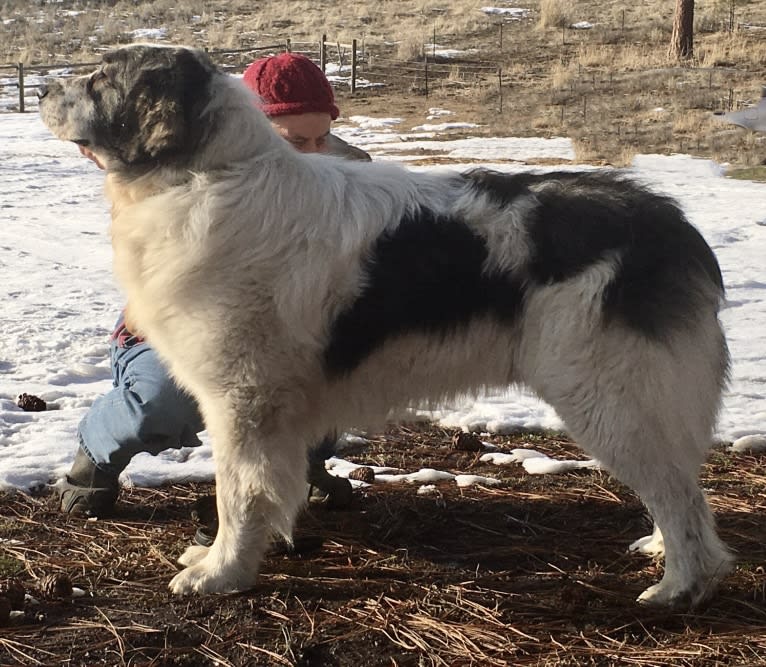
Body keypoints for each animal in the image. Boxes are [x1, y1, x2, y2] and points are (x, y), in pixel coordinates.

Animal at [39, 41, 736, 604]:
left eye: (101, 80)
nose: (43, 91)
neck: (206, 174)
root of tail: (673, 224)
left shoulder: (243, 401)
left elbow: (237, 493)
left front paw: (221, 573)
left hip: (609, 396)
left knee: (681, 497)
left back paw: (679, 586)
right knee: (679, 484)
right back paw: (659, 551)